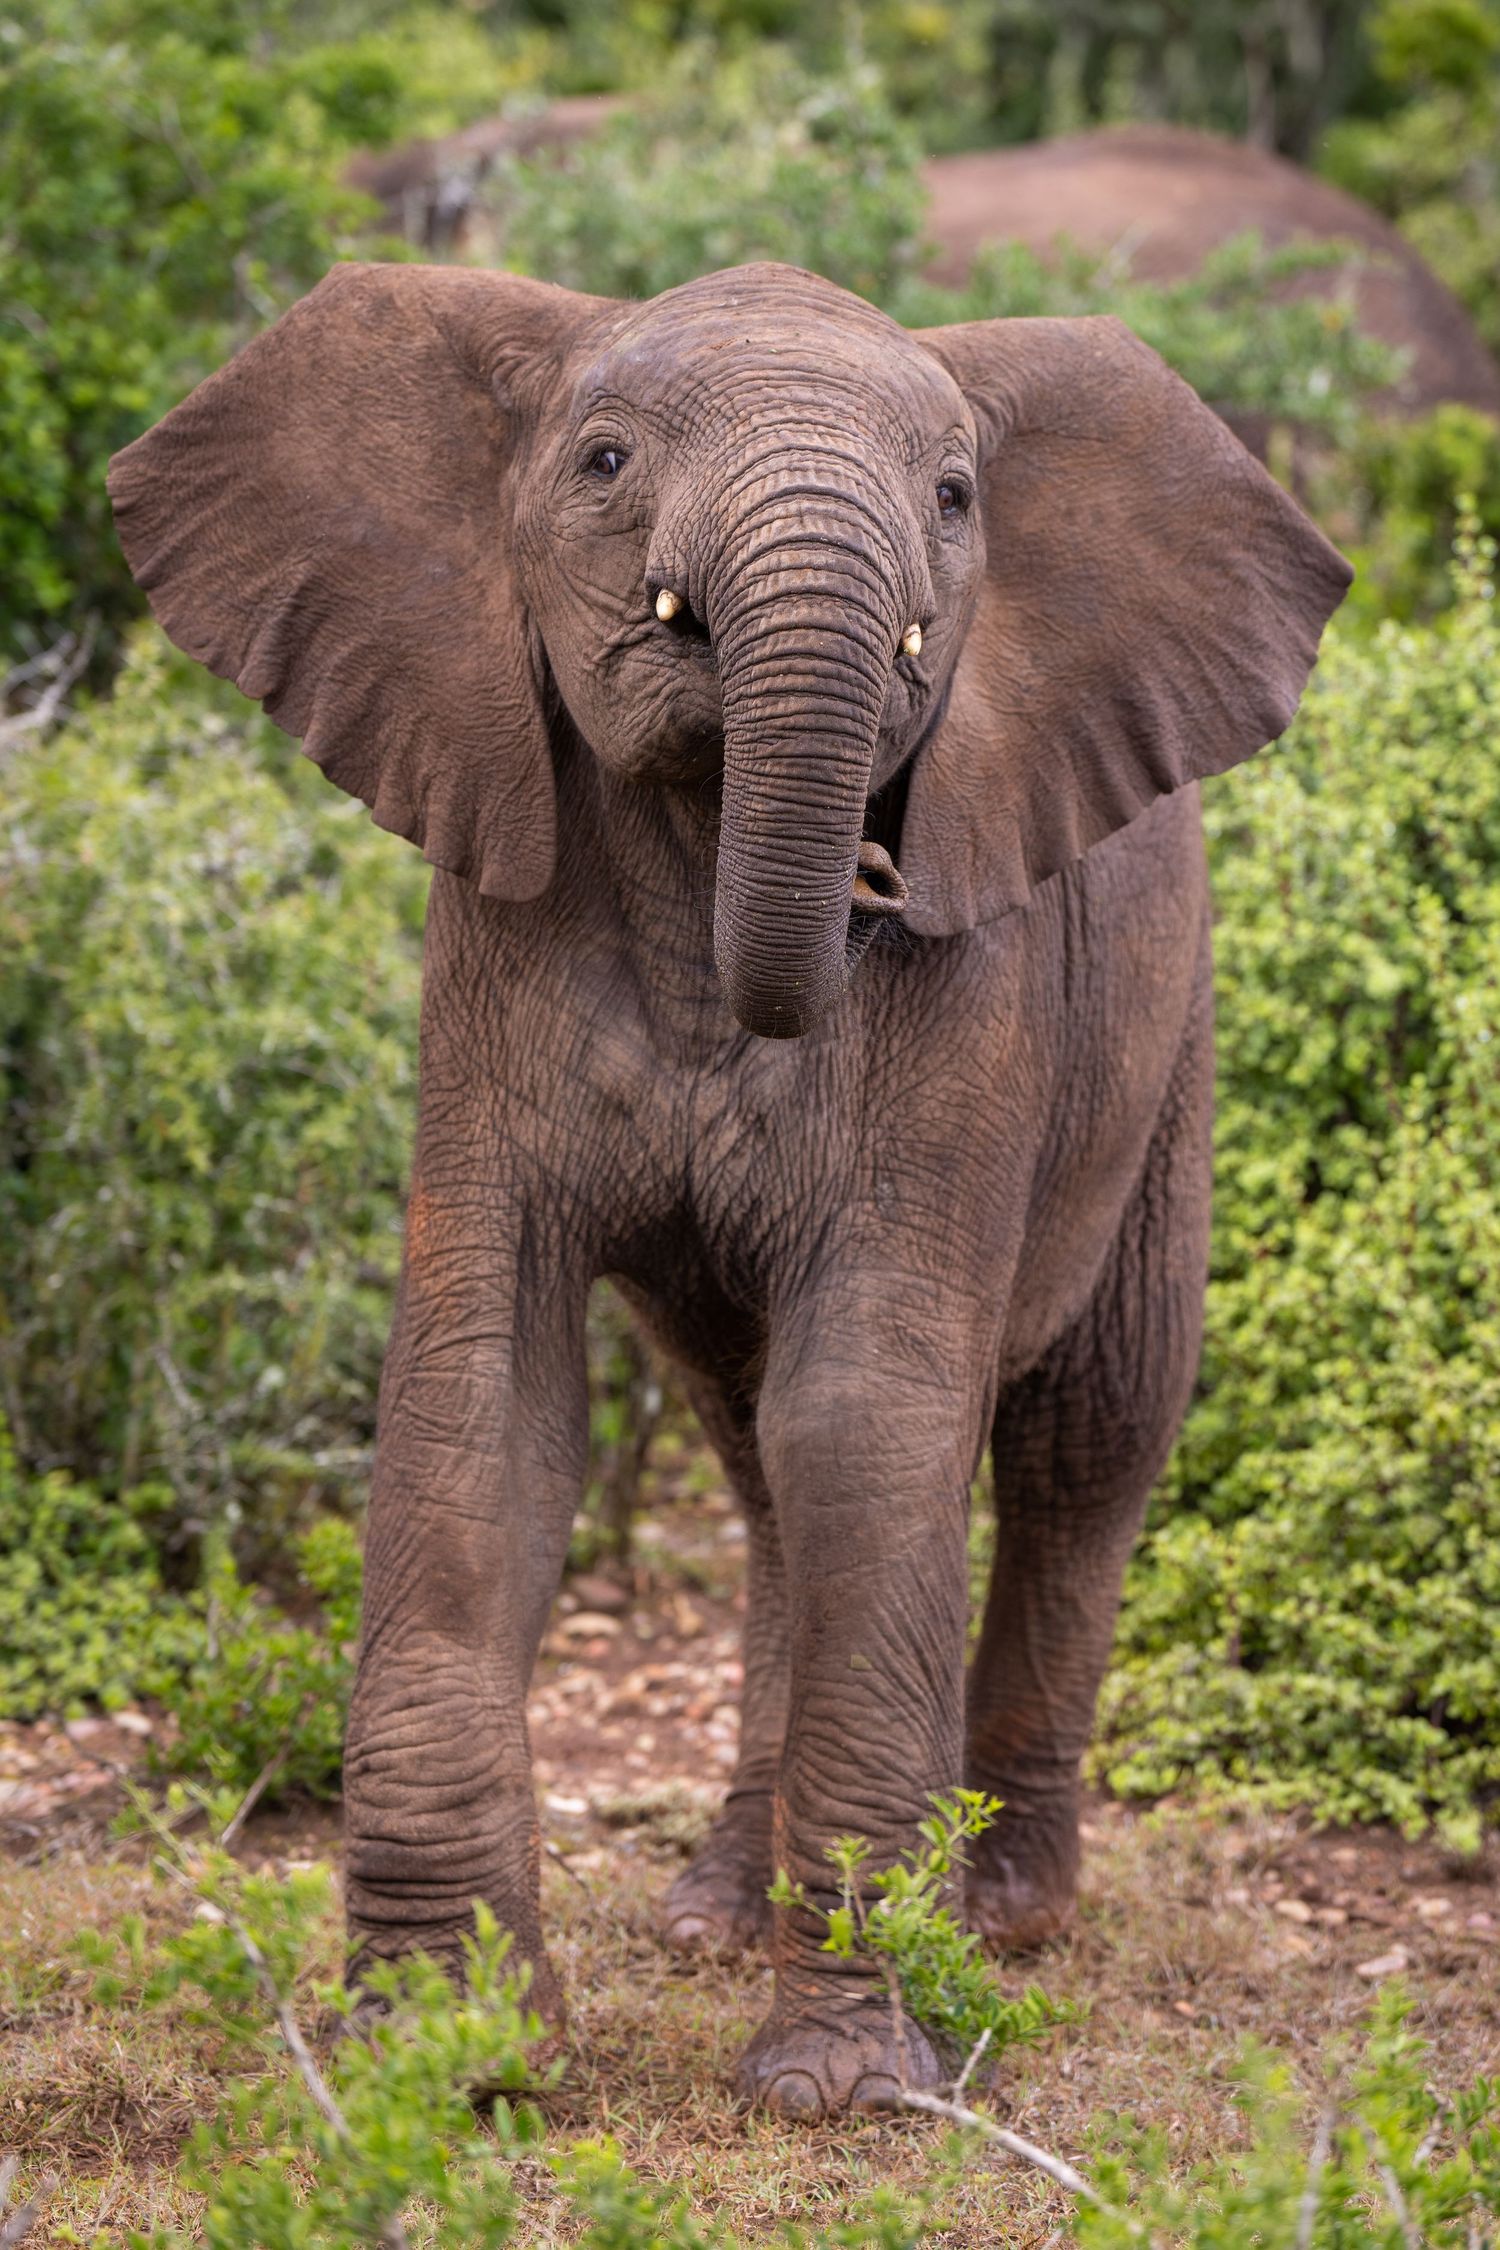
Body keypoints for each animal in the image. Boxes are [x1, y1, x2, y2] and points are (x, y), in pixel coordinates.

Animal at [108, 259, 1349, 2118]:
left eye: (956, 497)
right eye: (605, 458)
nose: (867, 880)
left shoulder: (973, 1006)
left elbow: (872, 1411)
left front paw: (839, 2085)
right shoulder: (490, 942)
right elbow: (484, 1404)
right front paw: (452, 2063)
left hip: (1176, 1035)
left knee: (1085, 1433)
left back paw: (1004, 1911)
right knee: (753, 1449)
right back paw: (713, 1913)